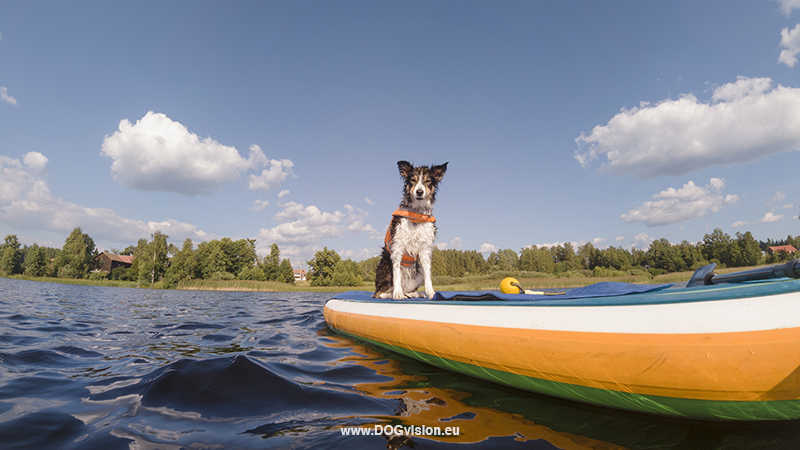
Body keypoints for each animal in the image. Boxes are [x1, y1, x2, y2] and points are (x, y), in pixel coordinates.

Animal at [374, 161, 446, 298]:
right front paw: (397, 294)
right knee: (380, 294)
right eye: (413, 180)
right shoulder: (398, 246)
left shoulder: (425, 248)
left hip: (418, 271)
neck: (416, 214)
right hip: (386, 270)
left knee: (407, 290)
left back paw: (415, 294)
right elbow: (397, 273)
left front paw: (431, 293)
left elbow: (428, 274)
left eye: (428, 181)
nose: (419, 192)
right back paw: (395, 293)